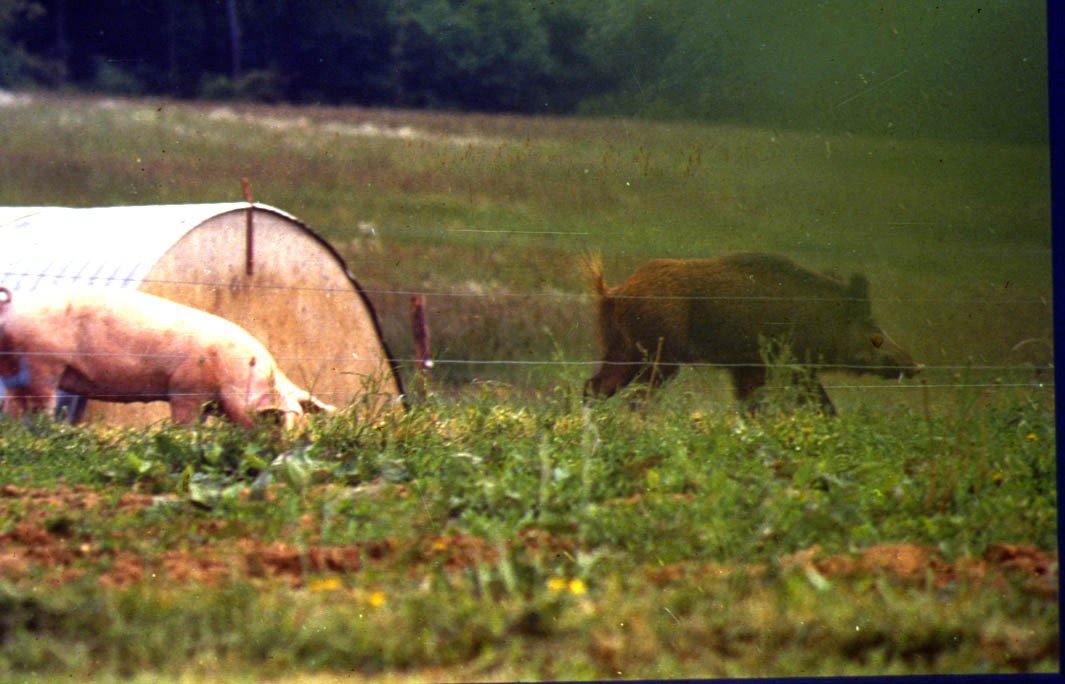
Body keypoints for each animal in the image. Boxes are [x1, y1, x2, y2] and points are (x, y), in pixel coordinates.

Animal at [0, 285, 332, 426]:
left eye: (303, 425)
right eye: (277, 423)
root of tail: (11, 306)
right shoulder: (186, 388)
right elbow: (184, 422)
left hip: (13, 368)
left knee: (13, 406)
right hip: (42, 365)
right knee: (38, 405)